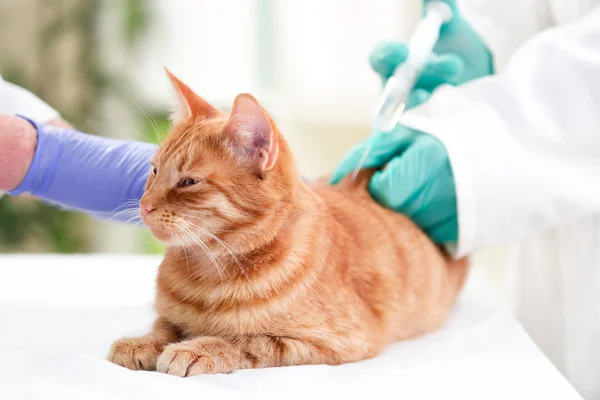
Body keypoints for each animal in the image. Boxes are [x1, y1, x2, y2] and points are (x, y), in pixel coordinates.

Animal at [106, 70, 468, 376]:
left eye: (188, 182)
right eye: (154, 171)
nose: (144, 205)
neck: (208, 273)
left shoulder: (338, 340)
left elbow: (249, 341)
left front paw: (198, 348)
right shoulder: (169, 314)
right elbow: (164, 325)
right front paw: (143, 342)